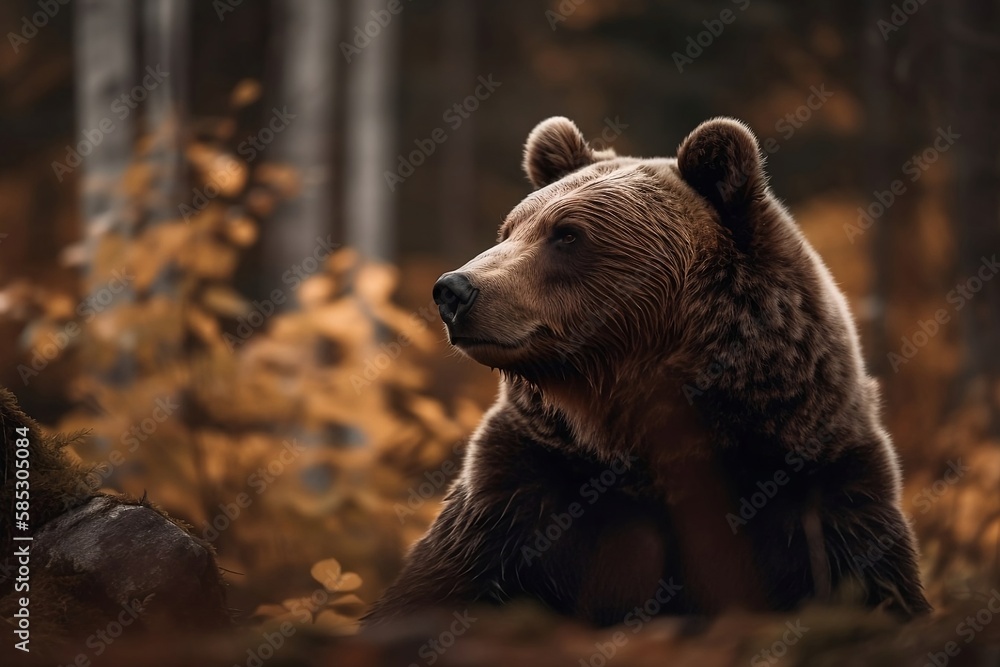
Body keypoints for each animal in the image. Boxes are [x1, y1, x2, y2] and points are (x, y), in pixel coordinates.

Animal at [363, 116, 930, 629]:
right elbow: (441, 584)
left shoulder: (818, 477)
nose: (454, 290)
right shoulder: (523, 483)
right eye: (509, 229)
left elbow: (877, 583)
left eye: (567, 234)